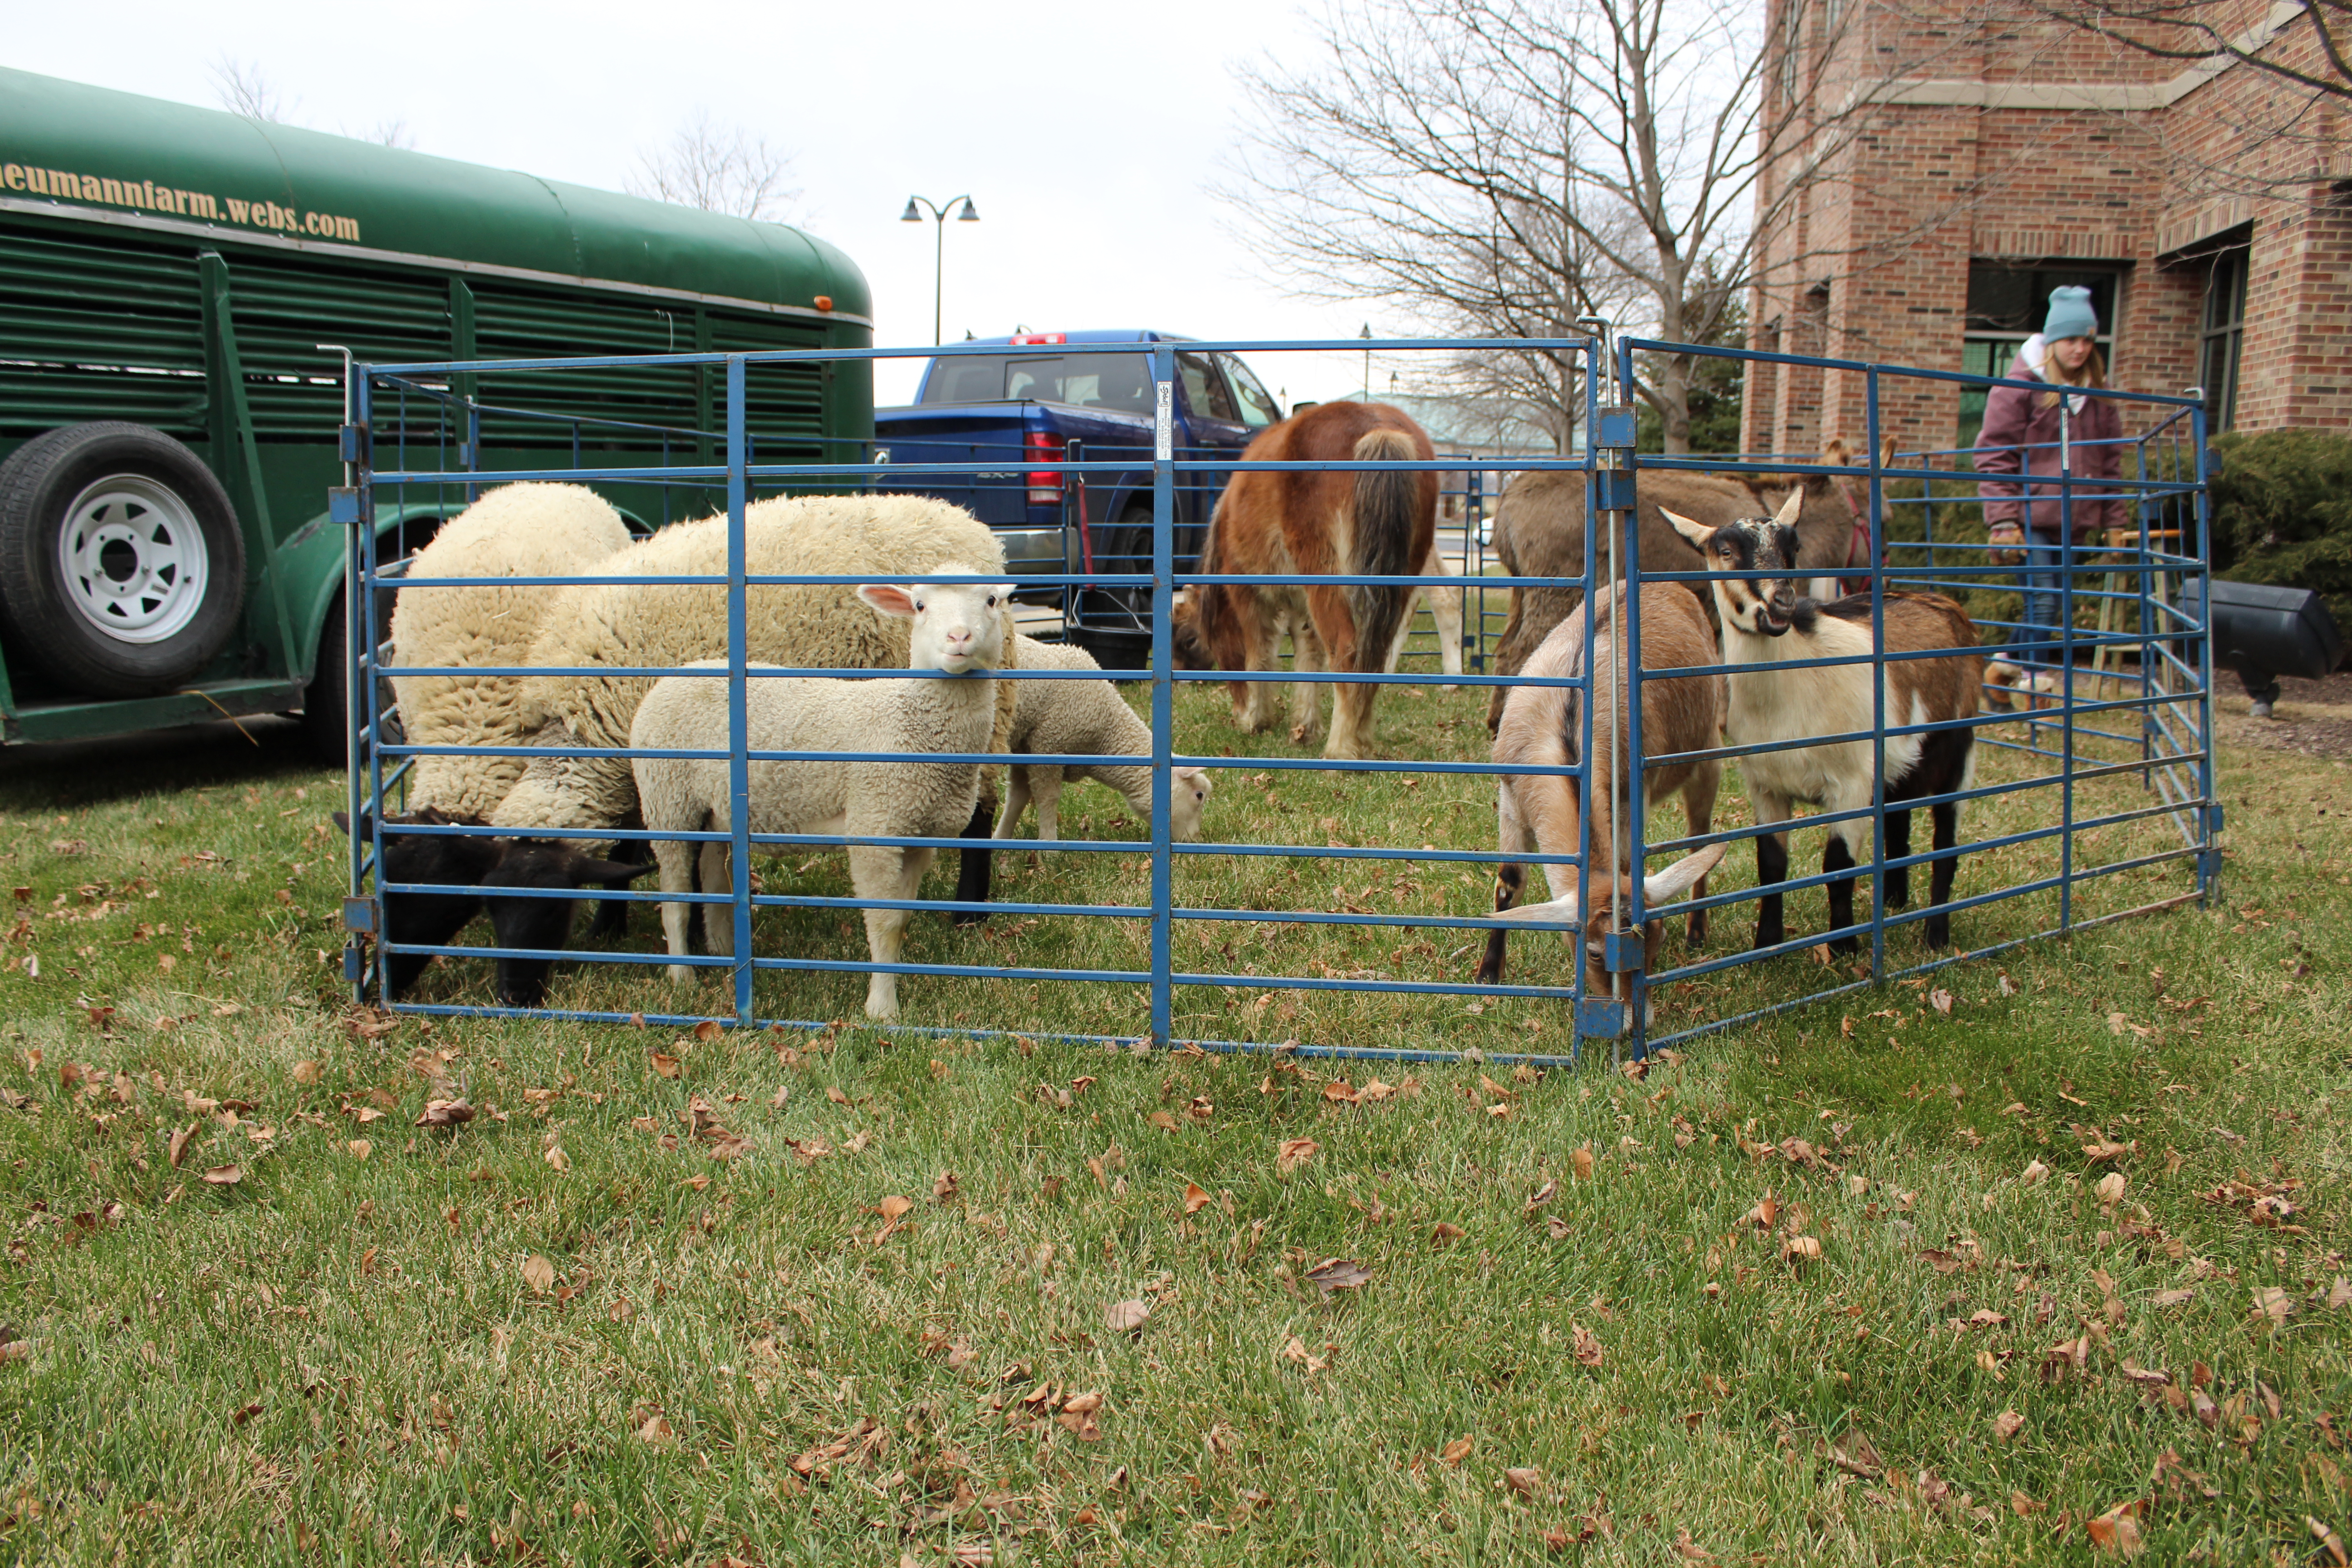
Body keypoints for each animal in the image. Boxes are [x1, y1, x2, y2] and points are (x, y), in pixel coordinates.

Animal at [630, 571, 1016, 1025]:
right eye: (920, 606)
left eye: (990, 601)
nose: (959, 637)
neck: (911, 723)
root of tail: (671, 679)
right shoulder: (874, 825)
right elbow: (884, 922)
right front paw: (881, 1008)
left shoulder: (920, 835)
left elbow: (901, 919)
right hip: (667, 797)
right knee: (674, 893)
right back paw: (682, 977)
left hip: (714, 808)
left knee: (712, 875)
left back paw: (725, 952)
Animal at [992, 639, 1213, 860]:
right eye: (1199, 795)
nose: (1194, 840)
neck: (1106, 730)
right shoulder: (1049, 744)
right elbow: (1048, 798)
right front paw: (1050, 848)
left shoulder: (1025, 748)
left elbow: (1017, 798)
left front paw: (1000, 841)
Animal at [1486, 580, 1731, 1029]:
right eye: (1596, 953)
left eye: (1657, 940)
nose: (1639, 1022)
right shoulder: (1510, 799)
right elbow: (1509, 884)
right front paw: (1489, 974)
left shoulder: (1630, 796)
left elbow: (1627, 864)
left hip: (1709, 755)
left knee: (1699, 835)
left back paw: (1697, 930)